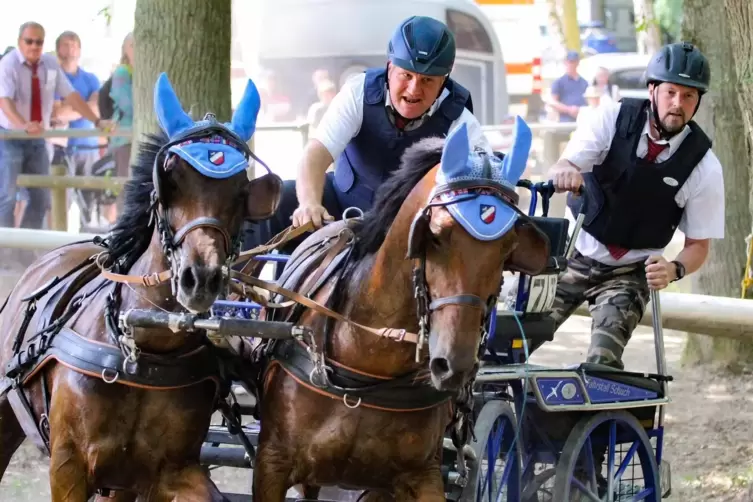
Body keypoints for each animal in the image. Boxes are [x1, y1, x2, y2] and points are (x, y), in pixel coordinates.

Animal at [0, 72, 282, 500]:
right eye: (171, 179)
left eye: (241, 189)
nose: (200, 278)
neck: (146, 348)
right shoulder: (68, 465)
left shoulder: (168, 470)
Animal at [250, 117, 548, 498]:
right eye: (435, 234)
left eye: (509, 247)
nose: (455, 365)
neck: (368, 361)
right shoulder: (272, 463)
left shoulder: (418, 474)